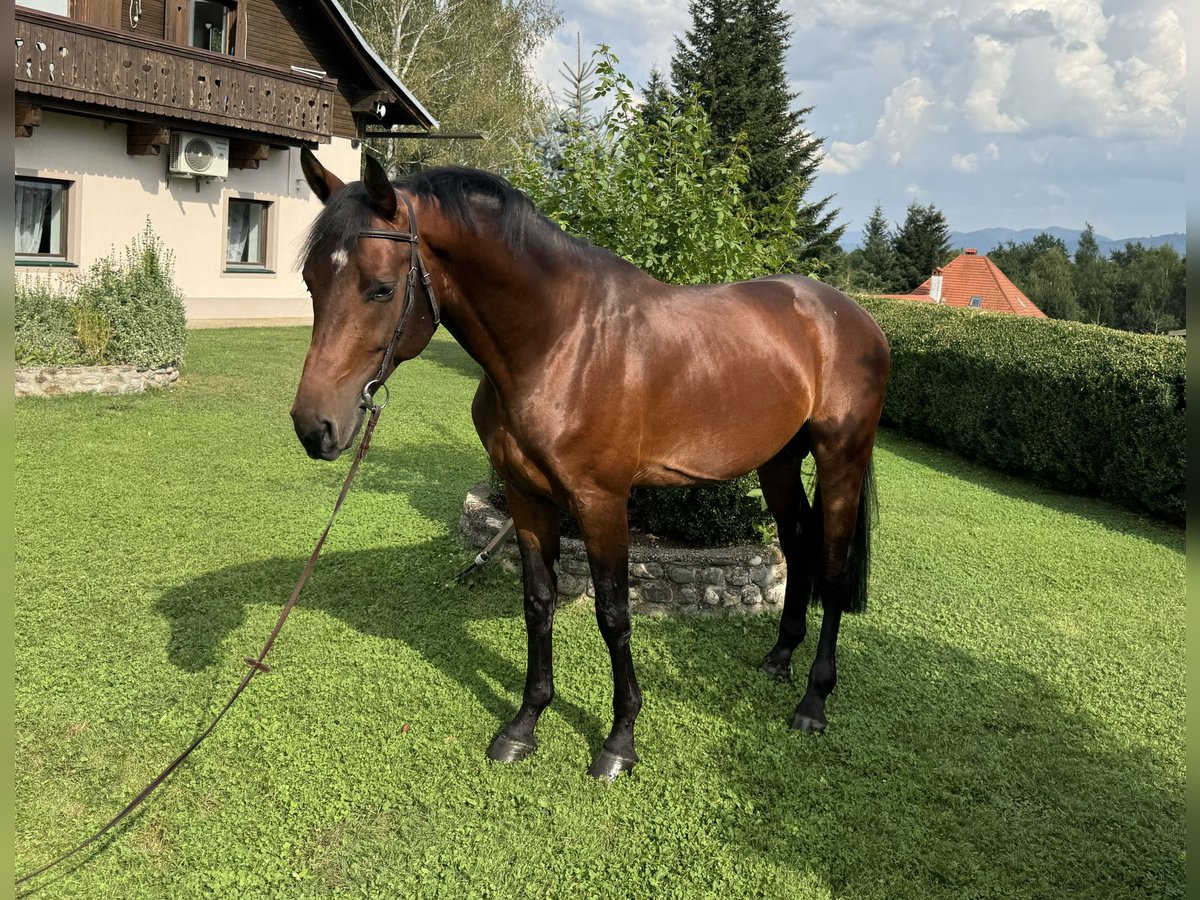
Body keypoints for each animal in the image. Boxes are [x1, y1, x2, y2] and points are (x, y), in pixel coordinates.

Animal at [291, 148, 890, 780]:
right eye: (311, 281)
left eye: (381, 289)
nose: (314, 426)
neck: (561, 343)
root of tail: (853, 316)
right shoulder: (528, 497)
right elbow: (538, 602)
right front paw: (524, 725)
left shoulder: (601, 502)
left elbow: (613, 613)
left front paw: (619, 742)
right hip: (777, 463)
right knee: (798, 544)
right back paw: (779, 656)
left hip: (841, 458)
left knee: (831, 566)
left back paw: (813, 701)